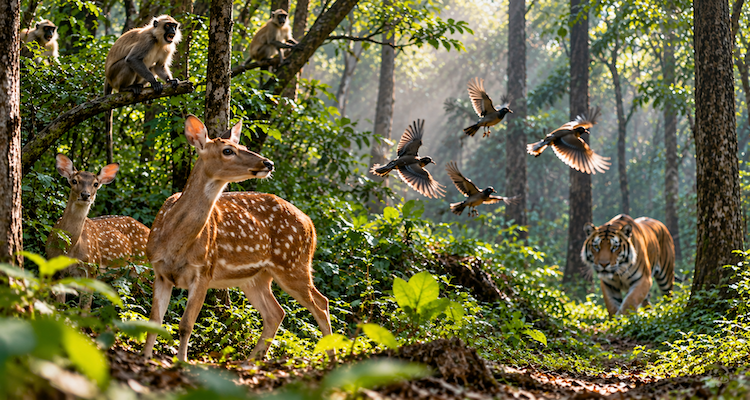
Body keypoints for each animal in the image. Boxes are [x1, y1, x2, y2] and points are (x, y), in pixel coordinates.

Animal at [46, 154, 150, 308]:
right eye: (74, 181)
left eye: (95, 184)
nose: (85, 195)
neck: (69, 249)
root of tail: (149, 229)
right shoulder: (54, 270)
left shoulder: (92, 269)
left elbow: (84, 308)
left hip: (143, 269)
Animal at [143, 115, 332, 362]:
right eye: (228, 150)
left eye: (243, 146)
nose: (268, 163)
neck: (175, 244)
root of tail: (310, 223)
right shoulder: (160, 271)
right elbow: (154, 321)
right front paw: (146, 358)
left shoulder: (204, 270)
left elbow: (186, 325)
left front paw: (182, 362)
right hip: (257, 276)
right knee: (276, 312)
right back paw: (249, 362)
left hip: (293, 264)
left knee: (320, 303)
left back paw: (332, 356)